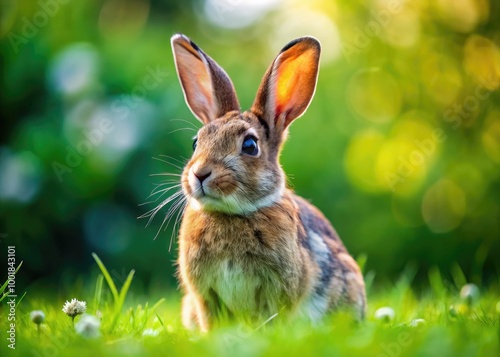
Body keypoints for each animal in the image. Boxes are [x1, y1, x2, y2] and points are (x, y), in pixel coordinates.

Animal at [172, 34, 368, 330]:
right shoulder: (205, 295)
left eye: (250, 145)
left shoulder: (278, 291)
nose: (200, 174)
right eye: (196, 142)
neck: (231, 214)